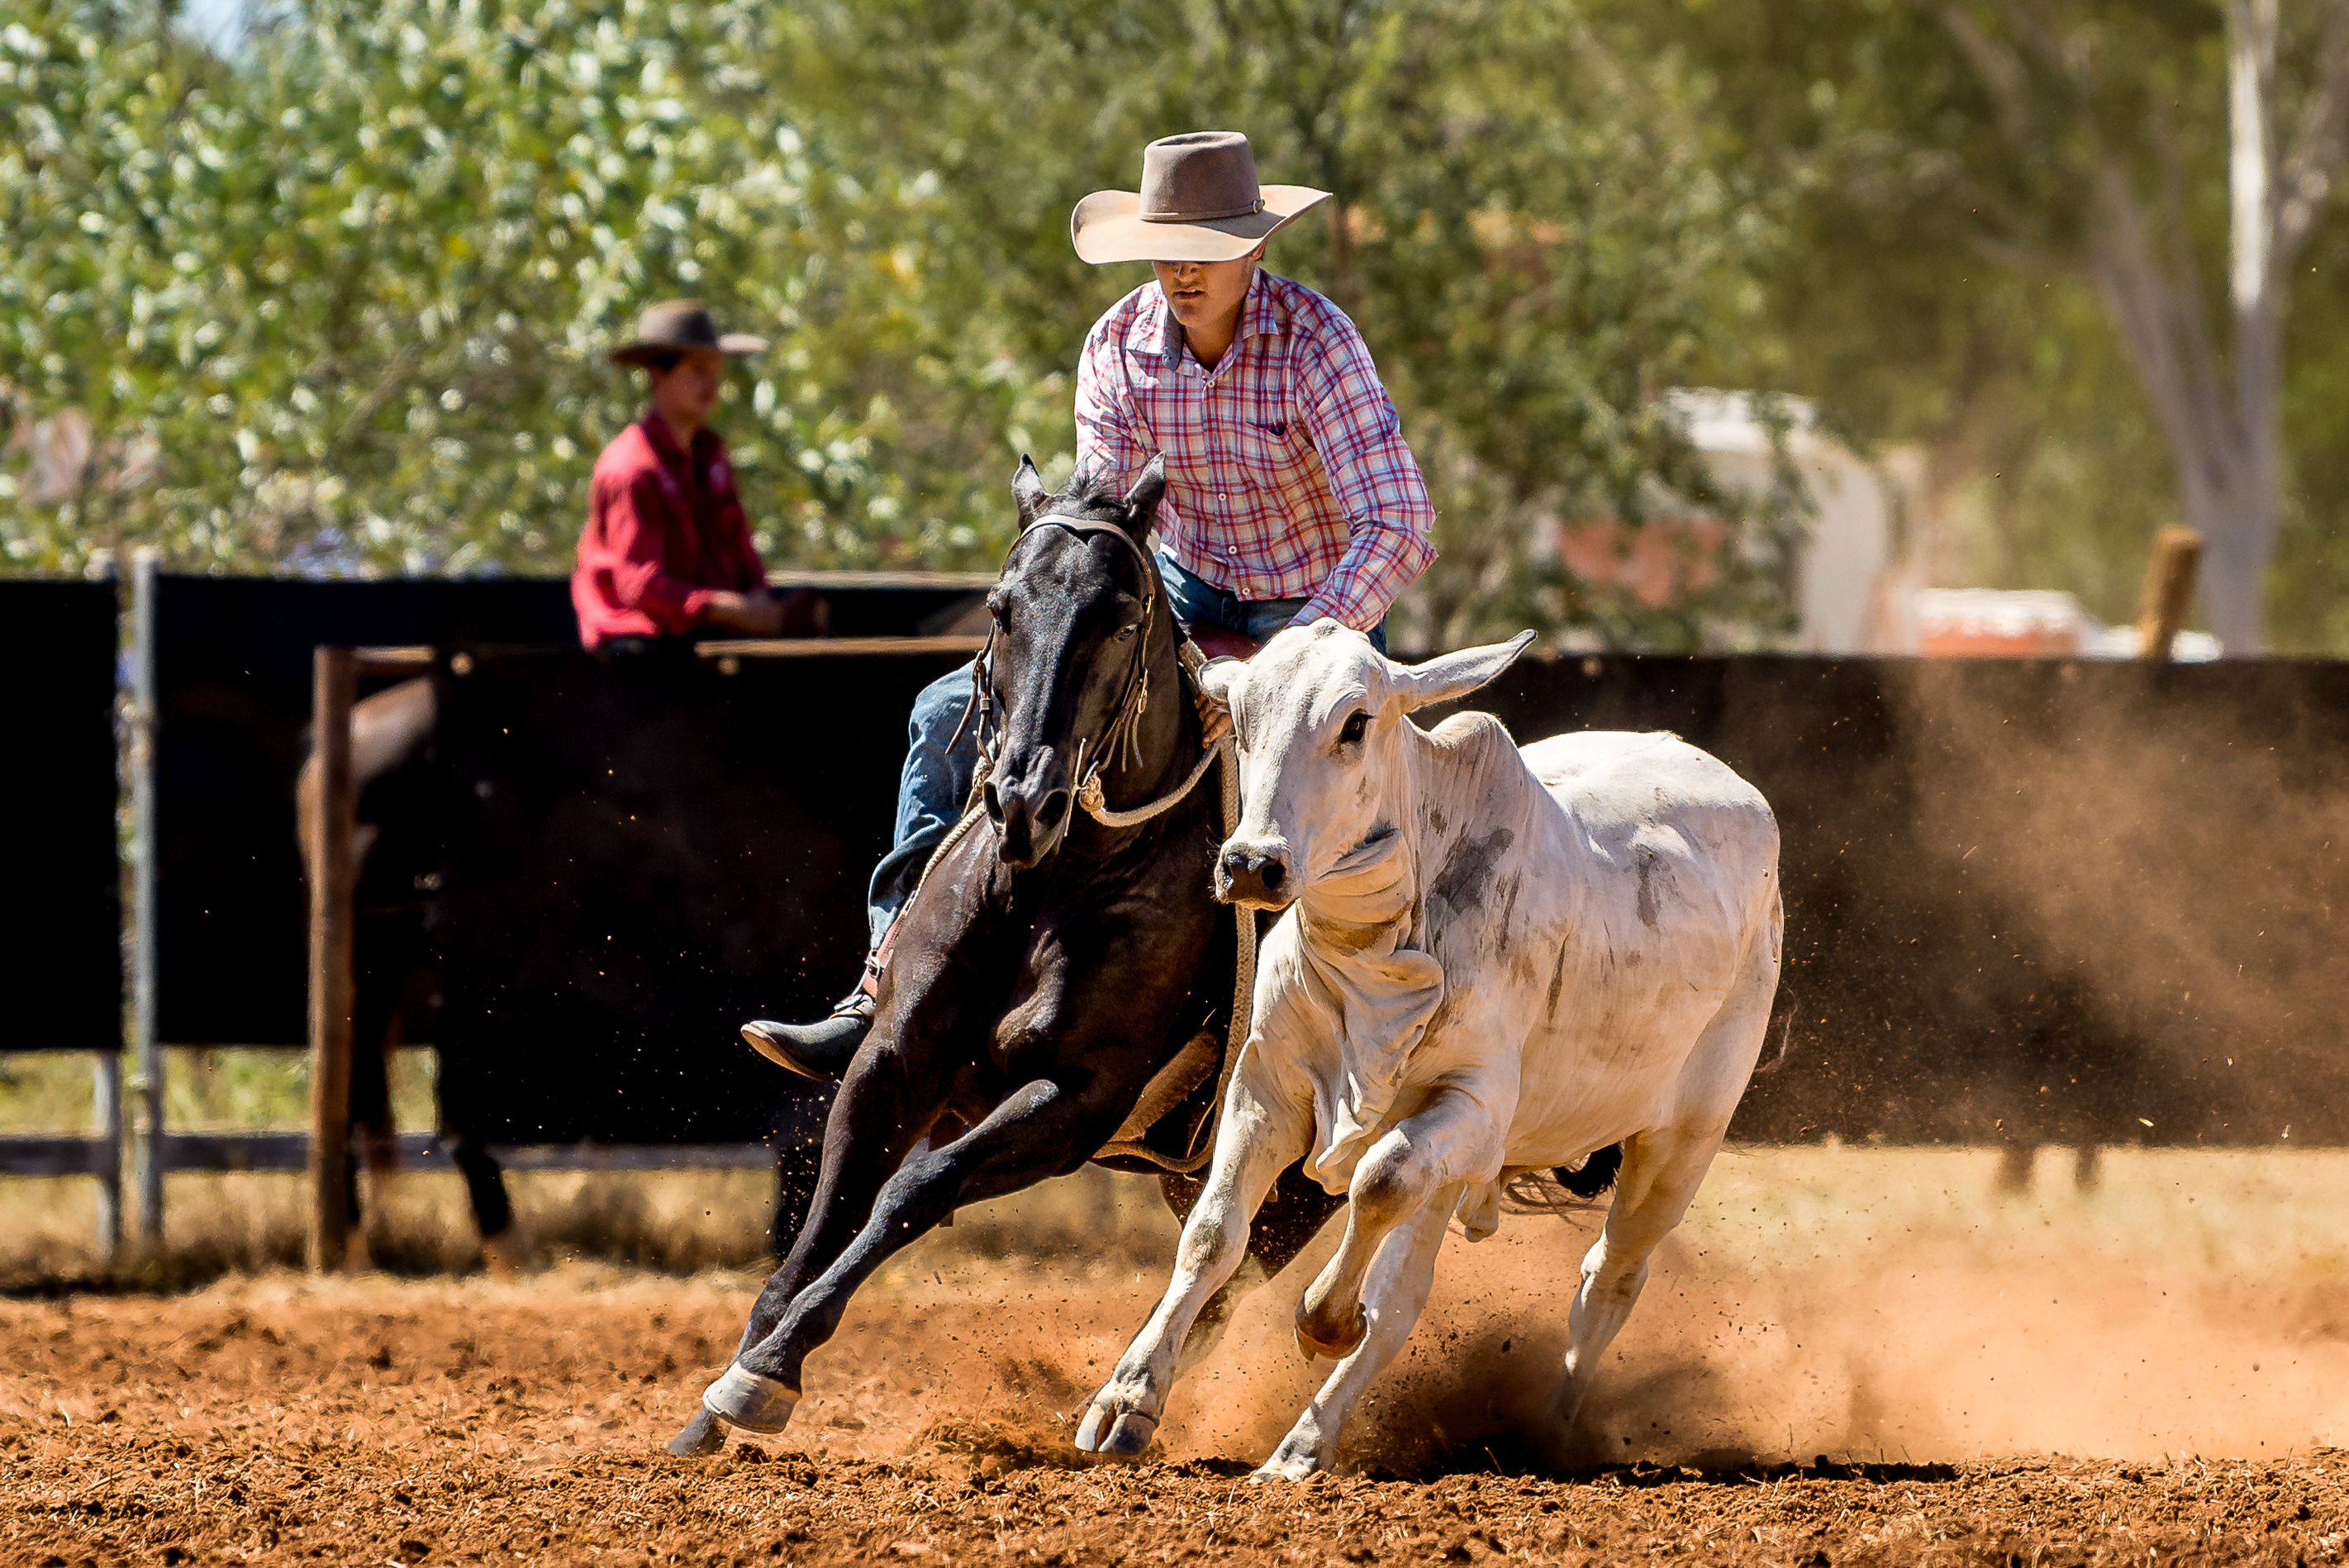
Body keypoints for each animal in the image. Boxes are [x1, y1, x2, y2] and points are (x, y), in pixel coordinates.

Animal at [668, 456, 1347, 1456]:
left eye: (1121, 618)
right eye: (999, 606)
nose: (1023, 798)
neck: (1048, 887)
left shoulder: (1074, 1099)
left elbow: (915, 1186)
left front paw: (771, 1371)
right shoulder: (892, 1059)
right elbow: (831, 1207)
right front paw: (722, 1392)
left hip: (1294, 1181)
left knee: (1226, 1278)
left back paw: (1131, 1405)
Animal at [1074, 621, 1784, 1480]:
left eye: (1354, 723)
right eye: (1240, 720)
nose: (1250, 865)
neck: (1379, 949)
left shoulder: (1474, 1109)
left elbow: (1377, 1185)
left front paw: (1323, 1317)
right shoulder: (1265, 1088)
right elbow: (1213, 1235)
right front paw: (1124, 1402)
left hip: (1681, 1142)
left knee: (1606, 1280)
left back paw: (1543, 1432)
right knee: (1407, 1291)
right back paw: (1301, 1447)